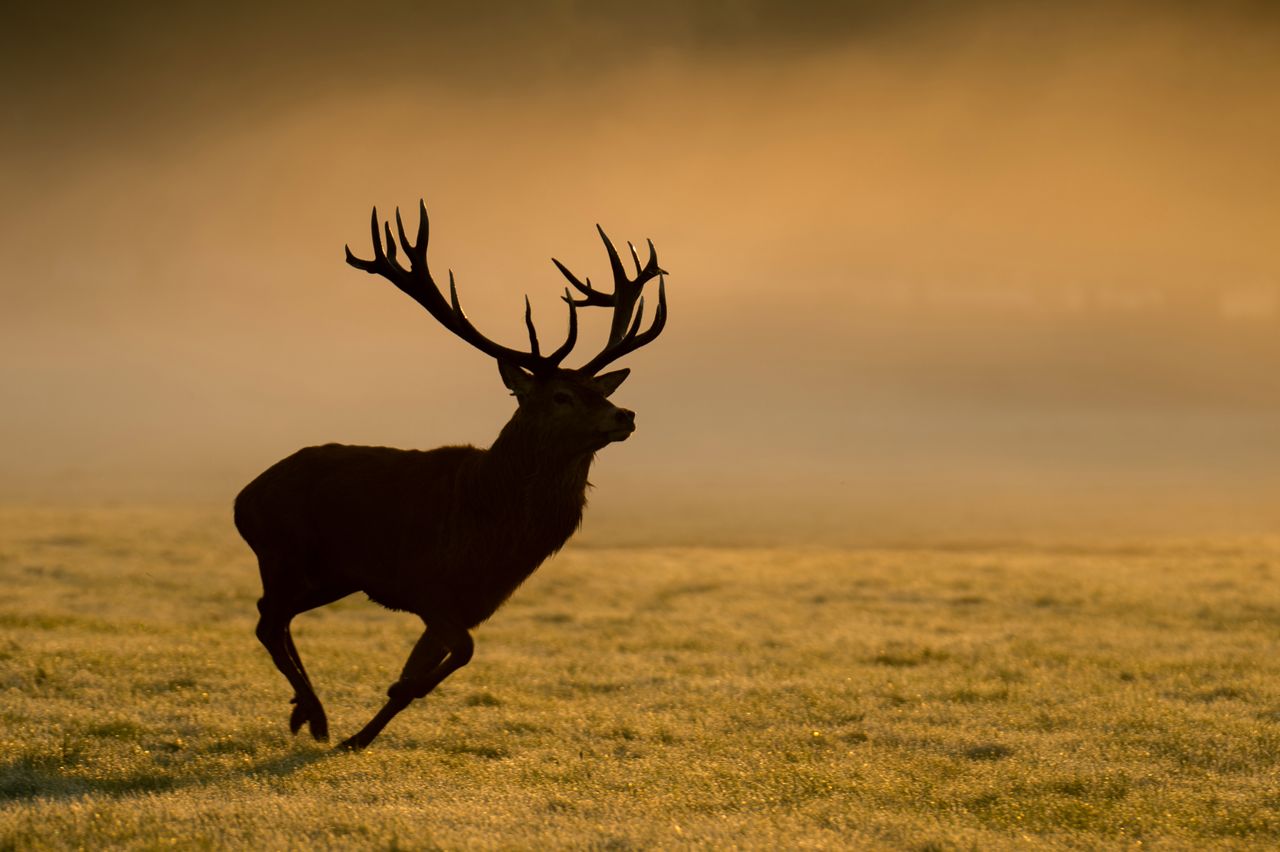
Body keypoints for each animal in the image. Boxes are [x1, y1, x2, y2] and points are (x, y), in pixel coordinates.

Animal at [232, 202, 670, 747]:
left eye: (600, 389)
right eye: (561, 395)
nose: (624, 415)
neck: (492, 529)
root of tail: (243, 499)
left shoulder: (470, 602)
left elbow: (430, 665)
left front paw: (368, 727)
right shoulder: (424, 585)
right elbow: (461, 653)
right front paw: (374, 714)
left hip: (330, 574)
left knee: (275, 618)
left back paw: (305, 713)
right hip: (285, 552)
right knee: (267, 620)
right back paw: (315, 715)